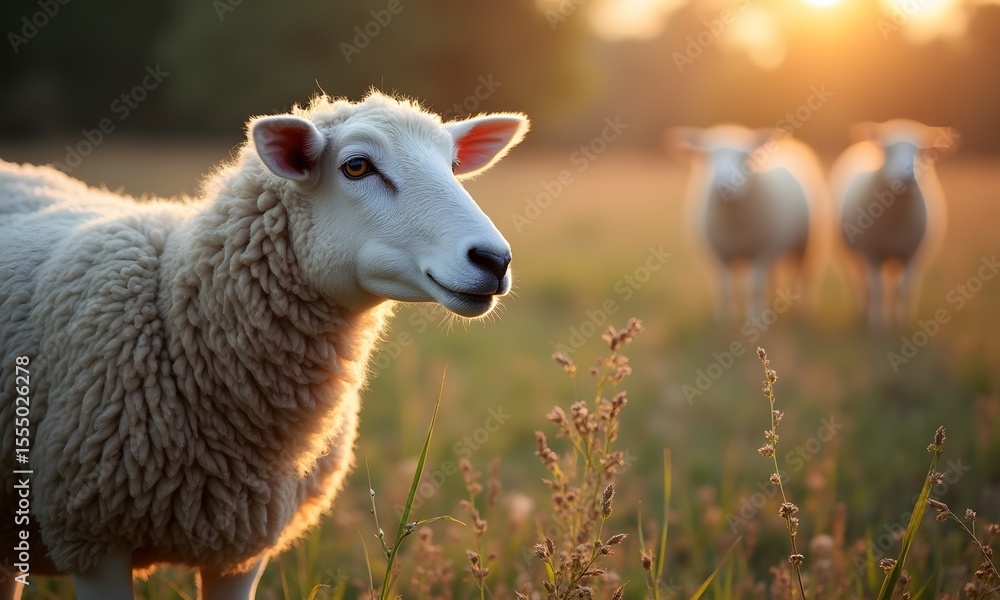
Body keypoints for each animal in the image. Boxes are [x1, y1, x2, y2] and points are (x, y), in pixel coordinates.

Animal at [670, 125, 827, 321]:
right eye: (706, 156)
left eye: (746, 156)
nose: (725, 184)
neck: (736, 227)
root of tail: (792, 144)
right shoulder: (720, 254)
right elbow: (725, 289)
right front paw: (725, 319)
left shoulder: (763, 252)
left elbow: (754, 288)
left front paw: (754, 319)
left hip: (807, 245)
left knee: (804, 276)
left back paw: (803, 309)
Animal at [830, 119, 957, 326]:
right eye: (887, 149)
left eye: (921, 152)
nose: (907, 174)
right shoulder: (871, 253)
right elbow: (877, 291)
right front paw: (877, 325)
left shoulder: (911, 254)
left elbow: (904, 291)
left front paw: (901, 324)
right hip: (849, 253)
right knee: (859, 284)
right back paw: (862, 314)